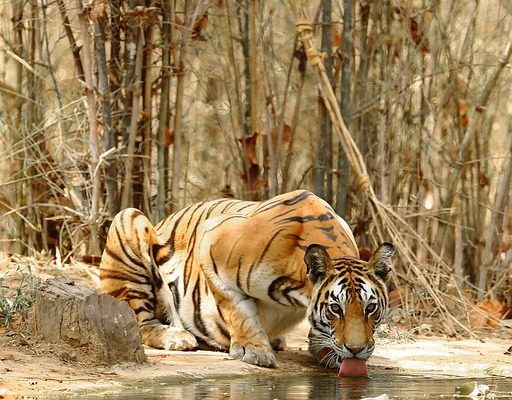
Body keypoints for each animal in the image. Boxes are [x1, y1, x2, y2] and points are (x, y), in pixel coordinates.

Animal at [98, 190, 392, 368]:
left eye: (370, 308)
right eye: (335, 309)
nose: (356, 350)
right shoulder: (210, 243)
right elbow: (237, 310)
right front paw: (255, 350)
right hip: (128, 220)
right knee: (139, 323)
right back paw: (177, 337)